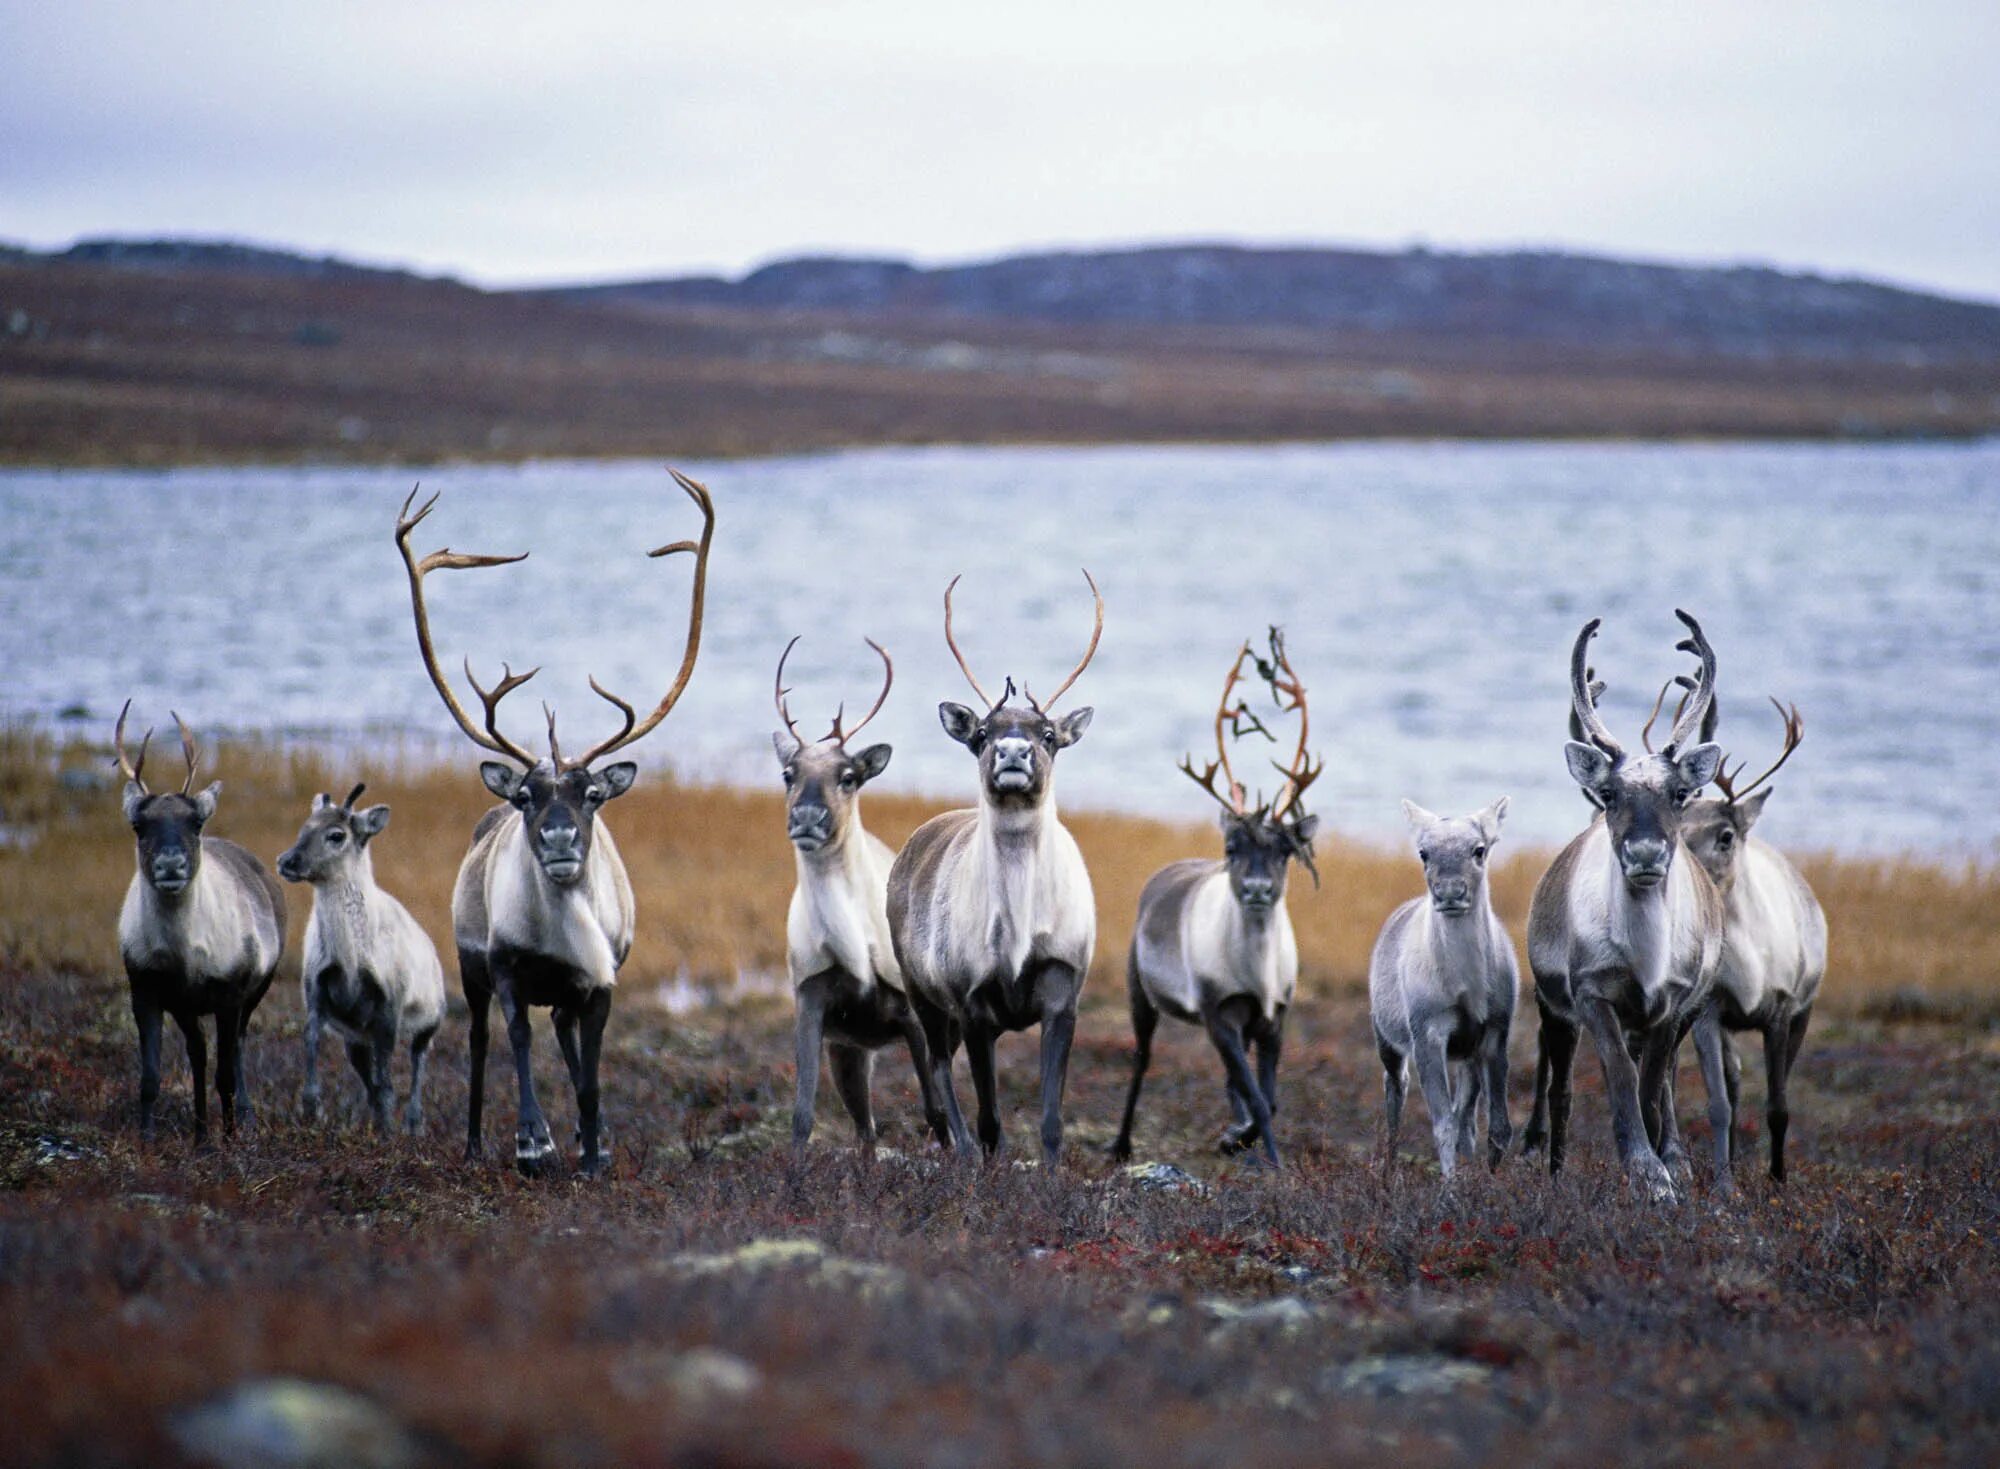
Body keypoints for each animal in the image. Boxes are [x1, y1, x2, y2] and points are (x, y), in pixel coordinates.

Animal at [114, 708, 286, 1144]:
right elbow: (152, 1076)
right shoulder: (149, 990)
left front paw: (228, 1139)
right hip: (188, 1007)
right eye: (139, 825)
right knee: (198, 1054)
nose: (171, 865)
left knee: (236, 1048)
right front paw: (152, 1140)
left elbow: (224, 1074)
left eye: (195, 822)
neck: (184, 956)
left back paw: (244, 1118)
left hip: (257, 989)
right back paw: (202, 1132)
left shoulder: (230, 992)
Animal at [274, 788, 442, 1136]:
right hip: (357, 1038)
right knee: (369, 1076)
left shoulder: (390, 1005)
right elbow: (311, 1039)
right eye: (304, 827)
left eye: (337, 835)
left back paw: (414, 1124)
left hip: (429, 1022)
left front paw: (389, 1130)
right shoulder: (316, 992)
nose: (286, 861)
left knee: (418, 1061)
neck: (349, 958)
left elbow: (389, 1079)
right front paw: (311, 1108)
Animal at [768, 640, 948, 1152]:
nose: (807, 818)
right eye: (788, 773)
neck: (855, 944)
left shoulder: (910, 1014)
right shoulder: (813, 1006)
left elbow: (936, 1113)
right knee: (865, 1130)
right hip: (850, 1052)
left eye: (848, 776)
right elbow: (801, 1117)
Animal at [1368, 800, 1520, 1176]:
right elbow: (1442, 1125)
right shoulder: (1427, 1032)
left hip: (1467, 1055)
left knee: (1466, 1116)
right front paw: (1449, 1185)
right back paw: (1389, 1170)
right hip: (1385, 1035)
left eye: (1479, 849)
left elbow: (1498, 1126)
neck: (1467, 989)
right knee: (1396, 1088)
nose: (1450, 893)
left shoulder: (1495, 1031)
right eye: (1423, 852)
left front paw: (1490, 1179)